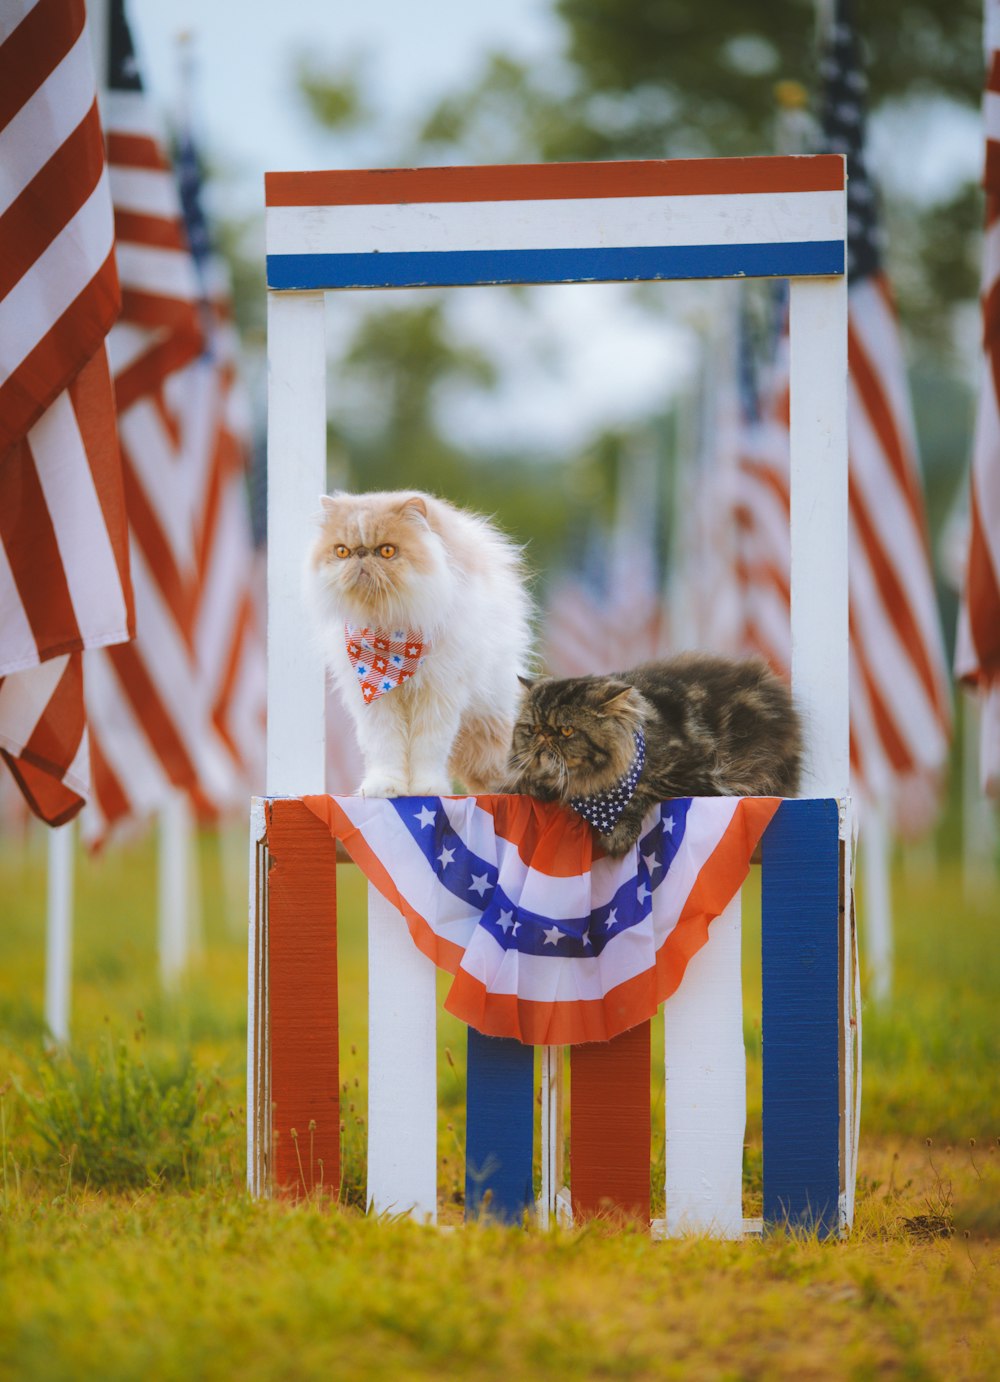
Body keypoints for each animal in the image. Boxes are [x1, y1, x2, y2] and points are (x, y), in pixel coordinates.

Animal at [305, 489, 535, 796]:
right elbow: (384, 747)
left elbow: (429, 748)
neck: (390, 630)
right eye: (342, 551)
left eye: (387, 551)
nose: (361, 554)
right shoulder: (373, 700)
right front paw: (385, 787)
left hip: (488, 708)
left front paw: (427, 788)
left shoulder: (439, 693)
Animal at [511, 652, 801, 856]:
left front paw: (618, 833)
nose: (544, 736)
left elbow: (639, 792)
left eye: (566, 730)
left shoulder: (698, 776)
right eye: (533, 728)